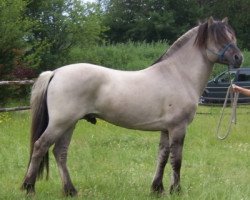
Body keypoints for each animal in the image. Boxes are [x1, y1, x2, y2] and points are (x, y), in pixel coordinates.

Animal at [20, 16, 243, 195]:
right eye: (220, 38)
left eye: (232, 35)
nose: (238, 58)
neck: (179, 74)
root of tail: (55, 72)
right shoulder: (178, 128)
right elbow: (176, 160)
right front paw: (176, 190)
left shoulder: (166, 129)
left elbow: (162, 157)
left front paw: (157, 188)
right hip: (60, 123)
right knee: (40, 147)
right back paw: (29, 187)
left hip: (69, 124)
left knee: (60, 152)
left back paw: (70, 190)